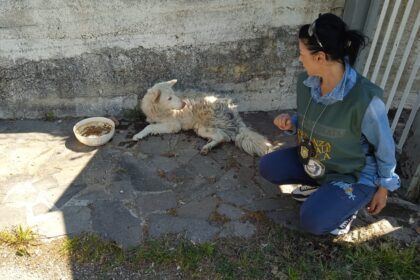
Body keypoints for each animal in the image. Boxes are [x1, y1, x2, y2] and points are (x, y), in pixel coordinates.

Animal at [133, 80, 274, 156]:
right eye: (169, 98)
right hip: (202, 128)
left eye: (174, 95)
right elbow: (150, 122)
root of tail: (232, 110)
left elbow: (149, 126)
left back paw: (207, 147)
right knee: (221, 136)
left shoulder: (173, 125)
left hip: (202, 127)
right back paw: (208, 145)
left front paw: (139, 135)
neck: (157, 109)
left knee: (223, 137)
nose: (184, 104)